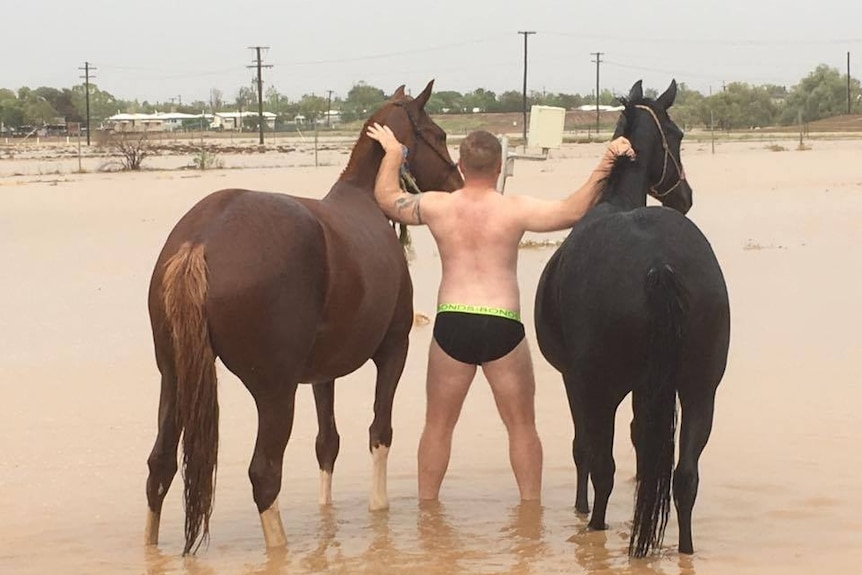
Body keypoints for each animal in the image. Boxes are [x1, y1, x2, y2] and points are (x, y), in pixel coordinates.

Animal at [143, 81, 466, 552]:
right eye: (438, 135)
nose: (460, 187)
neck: (368, 199)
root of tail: (200, 239)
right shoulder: (394, 350)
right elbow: (380, 431)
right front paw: (379, 508)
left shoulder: (321, 375)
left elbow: (327, 443)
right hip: (274, 392)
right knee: (264, 473)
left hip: (173, 378)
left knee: (160, 467)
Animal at [536, 80, 732, 560]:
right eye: (677, 134)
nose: (685, 197)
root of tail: (657, 262)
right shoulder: (651, 387)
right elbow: (645, 448)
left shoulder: (576, 382)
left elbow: (583, 450)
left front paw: (580, 506)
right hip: (700, 389)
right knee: (685, 476)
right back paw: (683, 548)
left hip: (603, 388)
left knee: (603, 467)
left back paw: (596, 527)